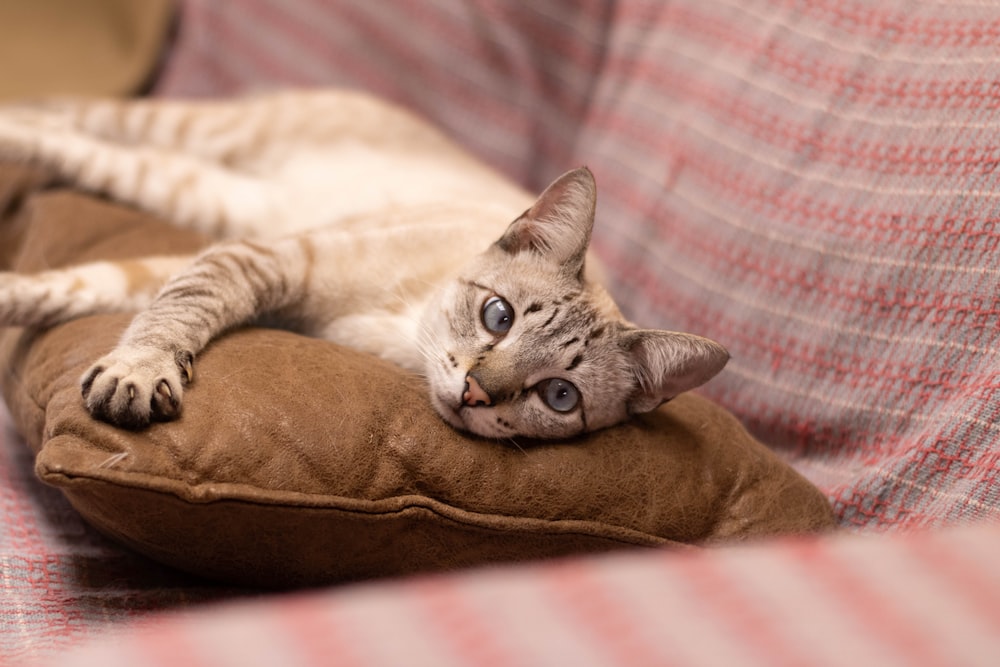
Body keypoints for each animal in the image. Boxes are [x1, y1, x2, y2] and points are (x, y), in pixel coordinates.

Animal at [0, 91, 728, 440]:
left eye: (559, 396)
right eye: (499, 316)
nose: (475, 392)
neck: (397, 335)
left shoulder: (224, 254)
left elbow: (102, 288)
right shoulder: (269, 258)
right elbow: (172, 311)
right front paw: (137, 372)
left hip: (201, 193)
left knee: (81, 141)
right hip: (197, 145)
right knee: (63, 118)